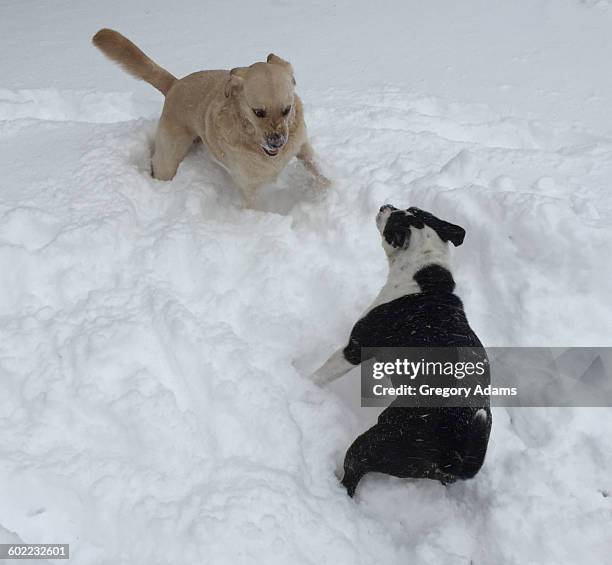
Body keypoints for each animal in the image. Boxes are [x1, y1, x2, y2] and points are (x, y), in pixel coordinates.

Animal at [310, 205, 492, 496]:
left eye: (391, 223)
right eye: (414, 208)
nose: (386, 205)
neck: (425, 278)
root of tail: (455, 453)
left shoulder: (355, 348)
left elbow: (321, 374)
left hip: (377, 442)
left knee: (352, 475)